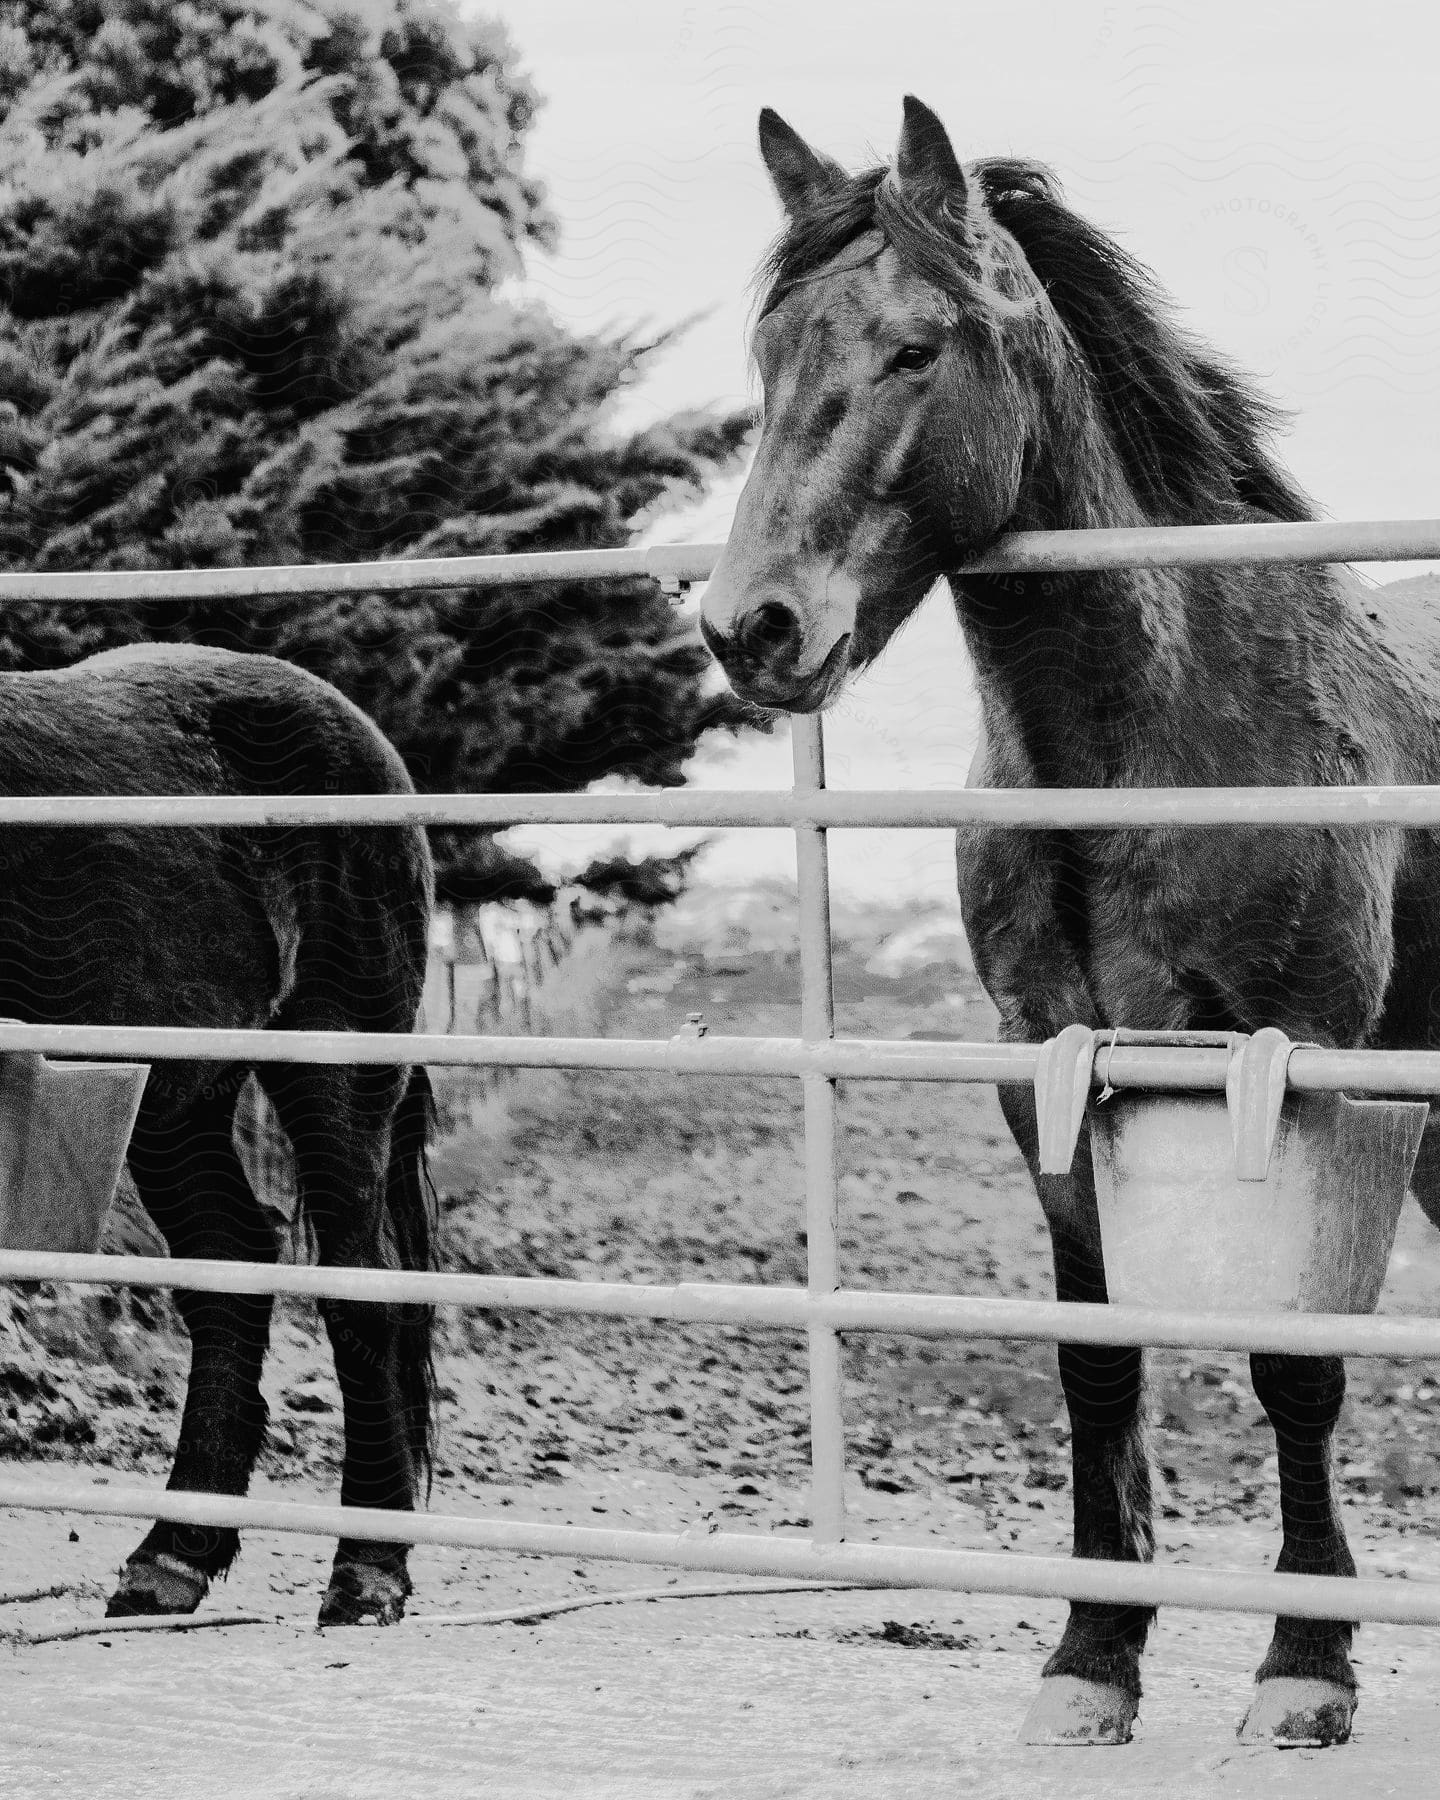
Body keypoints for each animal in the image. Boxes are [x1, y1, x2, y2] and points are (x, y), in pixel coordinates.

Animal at [2, 648, 435, 1634]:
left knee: (360, 1294)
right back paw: (172, 1556)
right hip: (177, 1099)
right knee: (231, 1267)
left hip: (337, 1059)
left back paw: (367, 1571)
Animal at [698, 94, 1440, 1742]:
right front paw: (1092, 1657)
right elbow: (1097, 1365)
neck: (1161, 743)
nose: (749, 626)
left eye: (915, 348)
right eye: (767, 356)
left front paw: (1307, 1663)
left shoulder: (1311, 1072)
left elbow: (1298, 1364)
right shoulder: (1043, 1066)